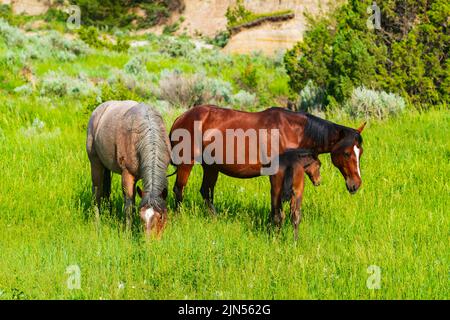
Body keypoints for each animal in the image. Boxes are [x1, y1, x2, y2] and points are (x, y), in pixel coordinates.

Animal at [85, 101, 171, 236]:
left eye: (161, 216)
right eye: (142, 217)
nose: (149, 240)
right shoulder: (127, 175)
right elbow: (129, 204)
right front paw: (128, 231)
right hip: (95, 164)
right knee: (97, 192)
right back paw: (97, 221)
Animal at [170, 105, 366, 230]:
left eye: (360, 152)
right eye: (347, 153)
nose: (356, 184)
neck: (292, 131)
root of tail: (181, 118)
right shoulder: (276, 174)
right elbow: (277, 206)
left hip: (211, 166)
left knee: (206, 192)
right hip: (186, 162)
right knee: (179, 190)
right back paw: (179, 219)